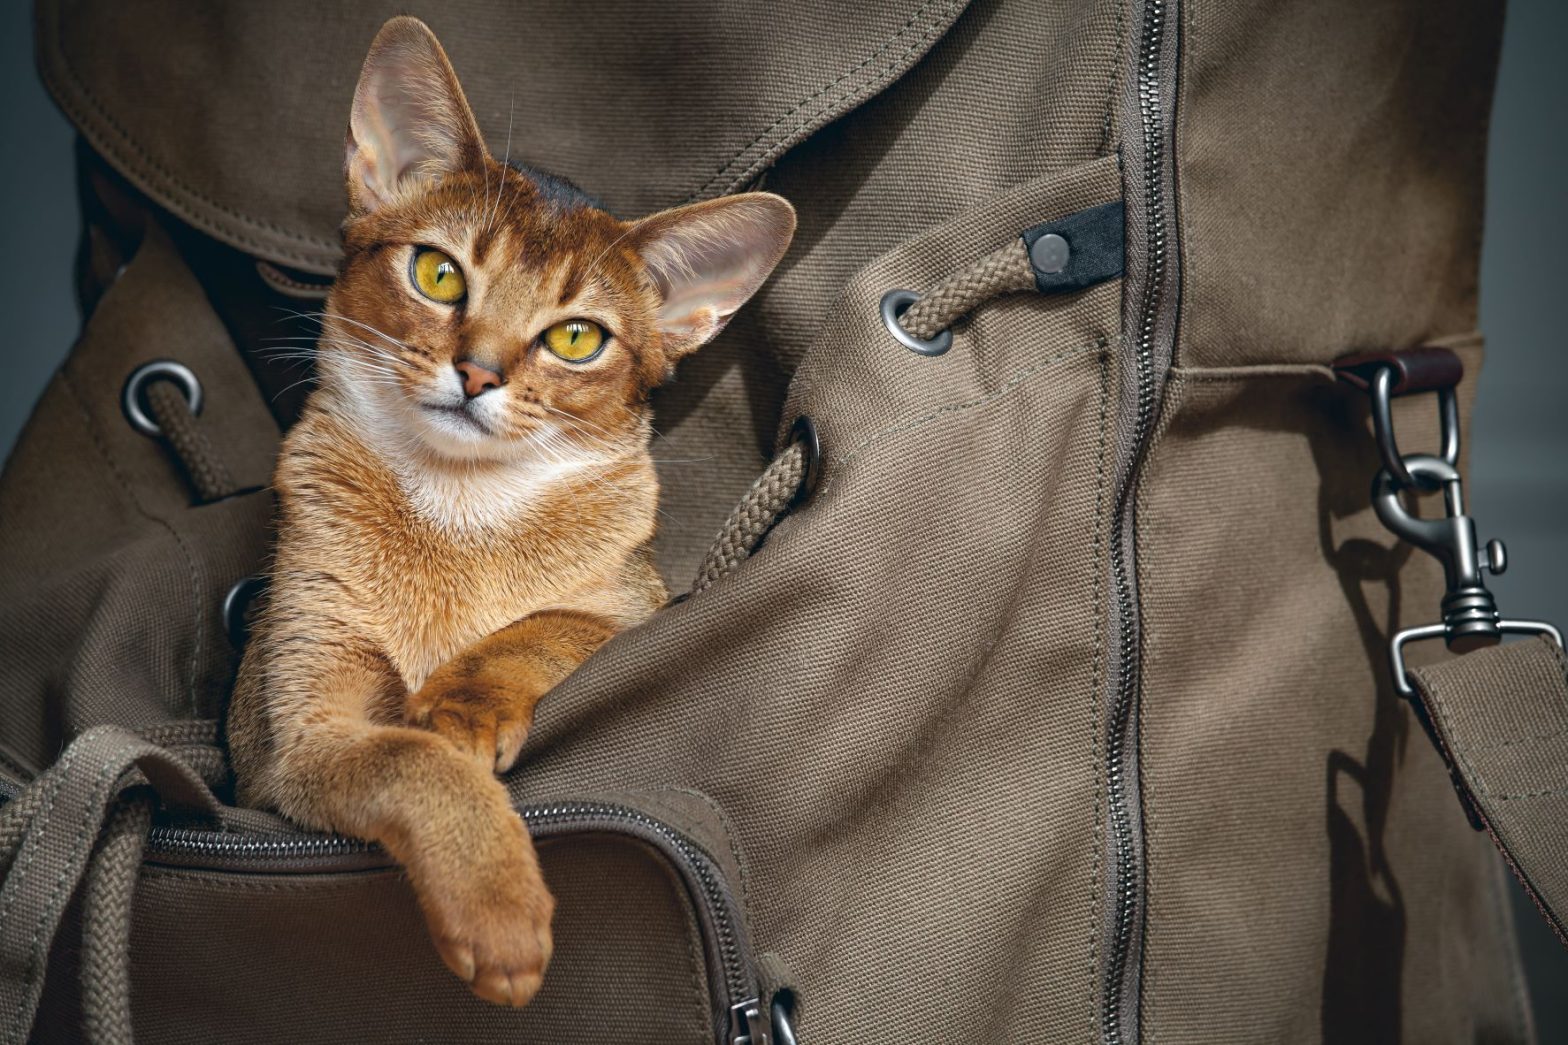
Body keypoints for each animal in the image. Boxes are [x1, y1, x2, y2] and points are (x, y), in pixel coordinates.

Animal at [222, 16, 796, 1004]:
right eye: (439, 274)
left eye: (577, 336)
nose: (479, 371)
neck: (458, 520)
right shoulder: (297, 736)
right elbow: (412, 760)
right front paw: (499, 911)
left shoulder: (642, 609)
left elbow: (548, 626)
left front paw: (462, 699)